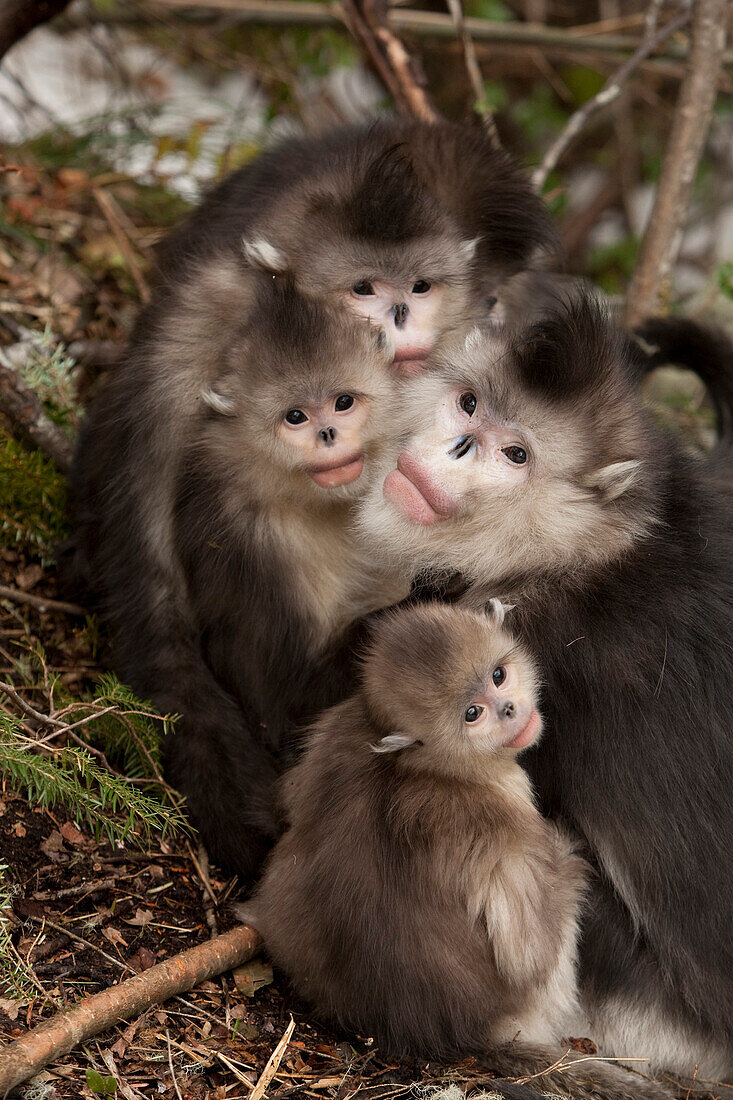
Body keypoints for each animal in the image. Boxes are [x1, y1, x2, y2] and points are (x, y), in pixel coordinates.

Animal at [244, 602, 673, 1100]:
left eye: (499, 675)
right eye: (473, 714)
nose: (509, 708)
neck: (425, 766)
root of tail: (468, 1034)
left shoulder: (335, 731)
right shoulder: (504, 821)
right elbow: (527, 956)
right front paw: (568, 845)